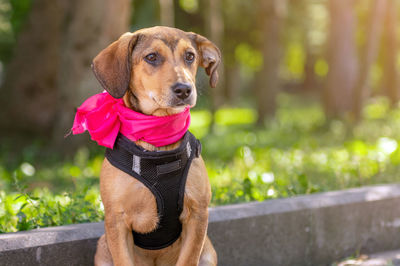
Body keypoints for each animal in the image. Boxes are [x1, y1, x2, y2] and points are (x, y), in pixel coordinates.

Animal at [92, 26, 220, 264]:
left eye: (190, 56)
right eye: (151, 57)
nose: (184, 89)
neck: (158, 139)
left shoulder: (198, 215)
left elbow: (188, 259)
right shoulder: (116, 221)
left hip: (208, 253)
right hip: (103, 249)